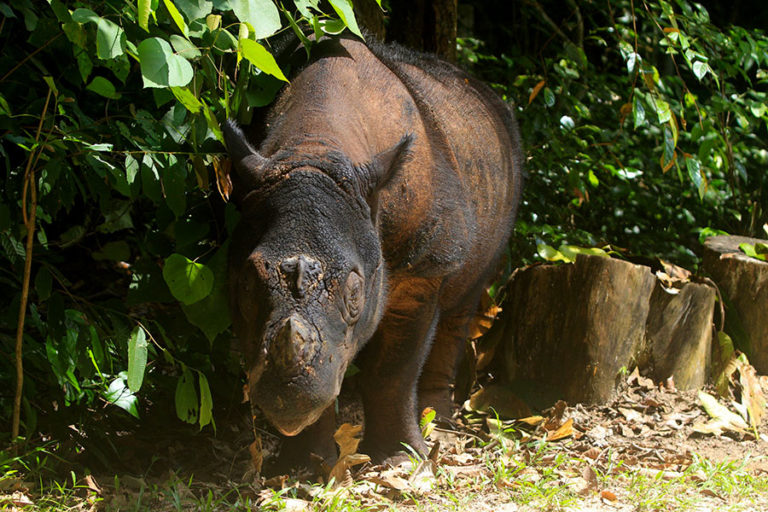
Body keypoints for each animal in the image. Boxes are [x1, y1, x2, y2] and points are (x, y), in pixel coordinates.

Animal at [225, 35, 523, 465]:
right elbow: (332, 359)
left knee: (463, 301)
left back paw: (439, 422)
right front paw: (305, 465)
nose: (287, 400)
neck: (316, 147)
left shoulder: (425, 267)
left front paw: (400, 459)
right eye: (246, 285)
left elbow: (393, 372)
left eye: (355, 293)